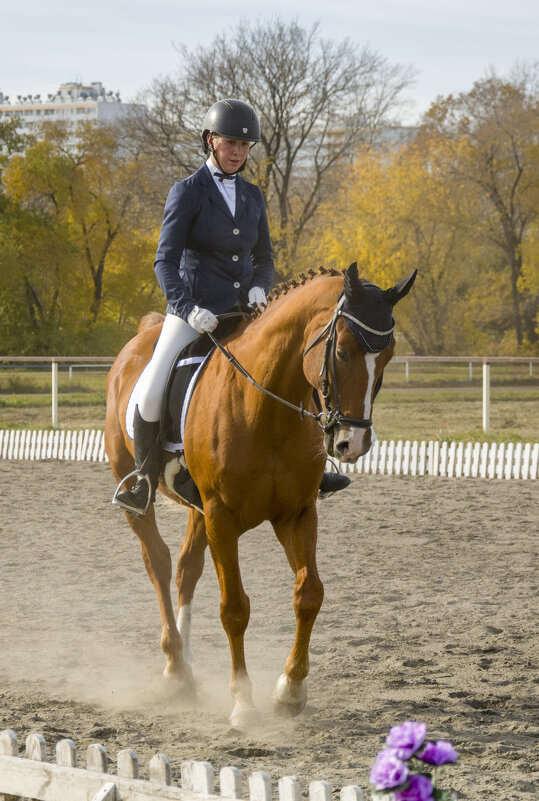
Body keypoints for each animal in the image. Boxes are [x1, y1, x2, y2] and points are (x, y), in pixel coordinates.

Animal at [105, 262, 418, 724]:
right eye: (342, 352)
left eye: (389, 356)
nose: (352, 444)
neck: (266, 408)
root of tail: (141, 337)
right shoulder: (222, 518)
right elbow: (234, 608)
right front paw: (242, 701)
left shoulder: (296, 513)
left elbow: (309, 594)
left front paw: (290, 690)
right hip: (138, 491)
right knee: (158, 563)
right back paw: (175, 666)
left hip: (198, 509)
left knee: (186, 569)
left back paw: (187, 667)